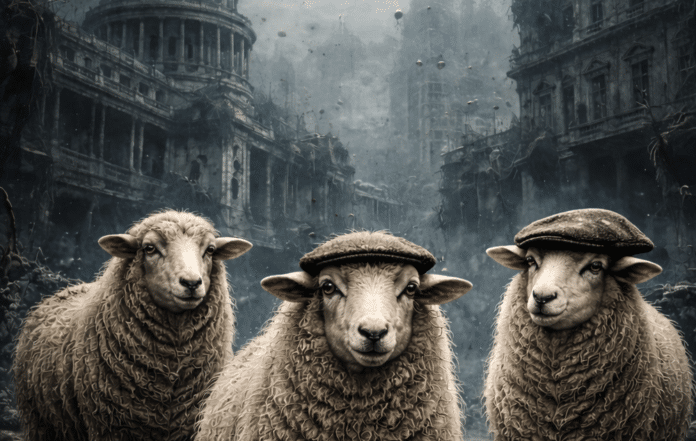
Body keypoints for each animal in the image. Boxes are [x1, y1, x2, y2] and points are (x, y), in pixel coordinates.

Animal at [13, 210, 253, 441]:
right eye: (149, 248)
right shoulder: (109, 427)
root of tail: (67, 290)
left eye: (210, 250)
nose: (191, 283)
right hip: (40, 424)